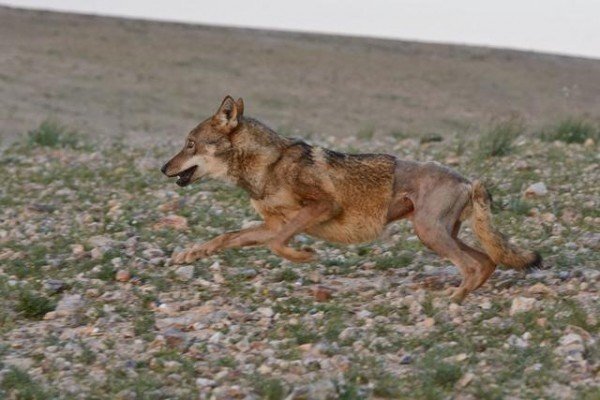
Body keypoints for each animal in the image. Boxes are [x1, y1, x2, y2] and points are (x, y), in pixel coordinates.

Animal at [162, 97, 540, 302]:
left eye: (190, 144)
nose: (163, 168)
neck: (265, 165)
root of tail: (469, 180)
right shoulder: (272, 224)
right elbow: (227, 237)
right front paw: (188, 254)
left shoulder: (321, 207)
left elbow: (278, 244)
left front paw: (304, 255)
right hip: (439, 234)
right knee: (487, 260)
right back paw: (467, 292)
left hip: (429, 233)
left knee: (472, 264)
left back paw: (457, 298)